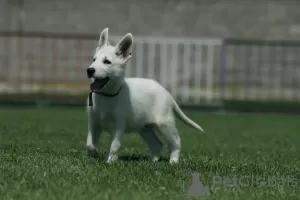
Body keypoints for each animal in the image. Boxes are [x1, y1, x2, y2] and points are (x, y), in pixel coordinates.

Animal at [85, 28, 205, 164]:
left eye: (107, 62)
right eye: (94, 59)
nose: (89, 70)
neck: (107, 95)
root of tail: (166, 92)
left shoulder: (118, 126)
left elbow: (115, 145)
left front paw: (110, 161)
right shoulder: (93, 123)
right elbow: (89, 144)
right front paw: (96, 154)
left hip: (164, 123)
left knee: (175, 141)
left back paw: (173, 161)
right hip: (145, 128)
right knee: (157, 144)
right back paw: (153, 161)